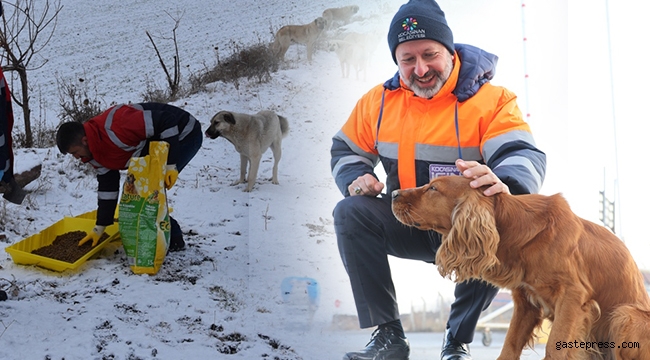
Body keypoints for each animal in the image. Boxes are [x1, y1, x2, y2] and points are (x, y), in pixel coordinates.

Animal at [390, 174, 648, 358]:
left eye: (433, 188)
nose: (392, 192)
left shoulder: (573, 297)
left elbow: (554, 348)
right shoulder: (526, 302)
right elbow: (509, 345)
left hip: (624, 314)